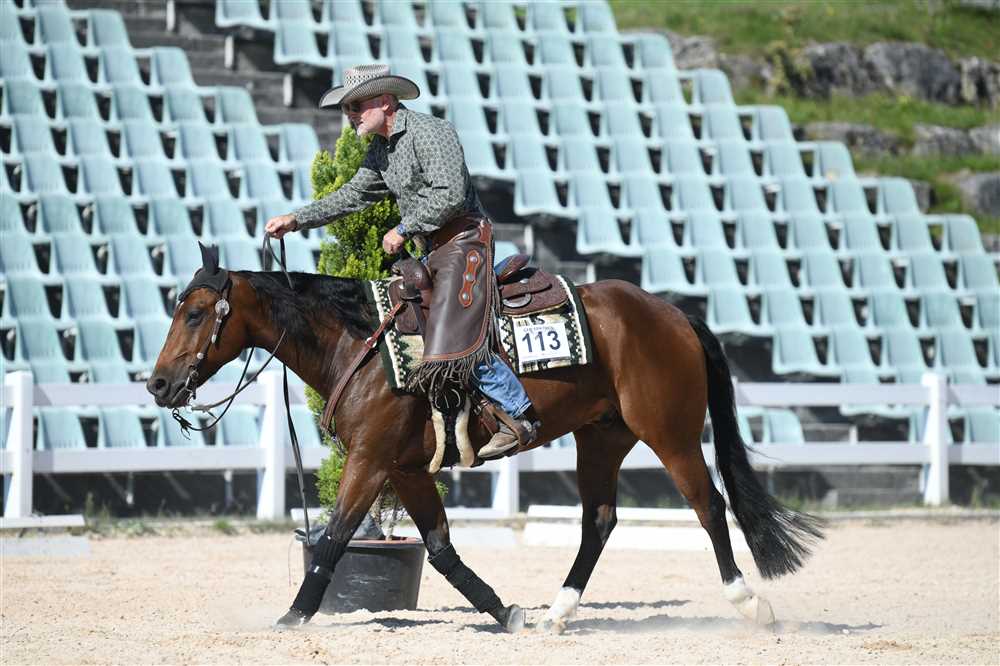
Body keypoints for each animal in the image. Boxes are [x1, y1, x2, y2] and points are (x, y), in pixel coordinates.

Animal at [147, 246, 822, 633]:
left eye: (196, 313)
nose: (158, 383)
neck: (360, 342)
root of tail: (672, 313)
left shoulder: (370, 461)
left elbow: (334, 538)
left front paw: (291, 617)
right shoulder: (406, 469)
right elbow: (441, 550)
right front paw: (505, 612)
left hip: (671, 434)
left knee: (709, 505)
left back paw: (749, 604)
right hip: (601, 438)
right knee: (599, 520)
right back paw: (557, 612)